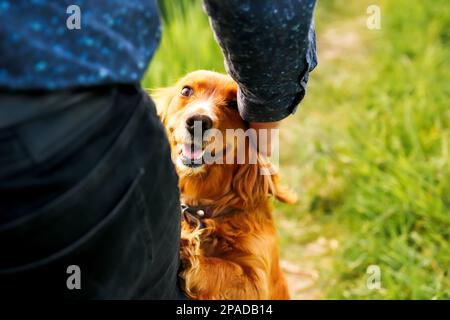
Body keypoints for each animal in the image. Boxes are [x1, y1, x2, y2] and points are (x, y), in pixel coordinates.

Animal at [154, 70, 296, 300]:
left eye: (233, 104)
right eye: (186, 90)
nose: (198, 121)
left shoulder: (257, 280)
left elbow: (225, 269)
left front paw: (188, 249)